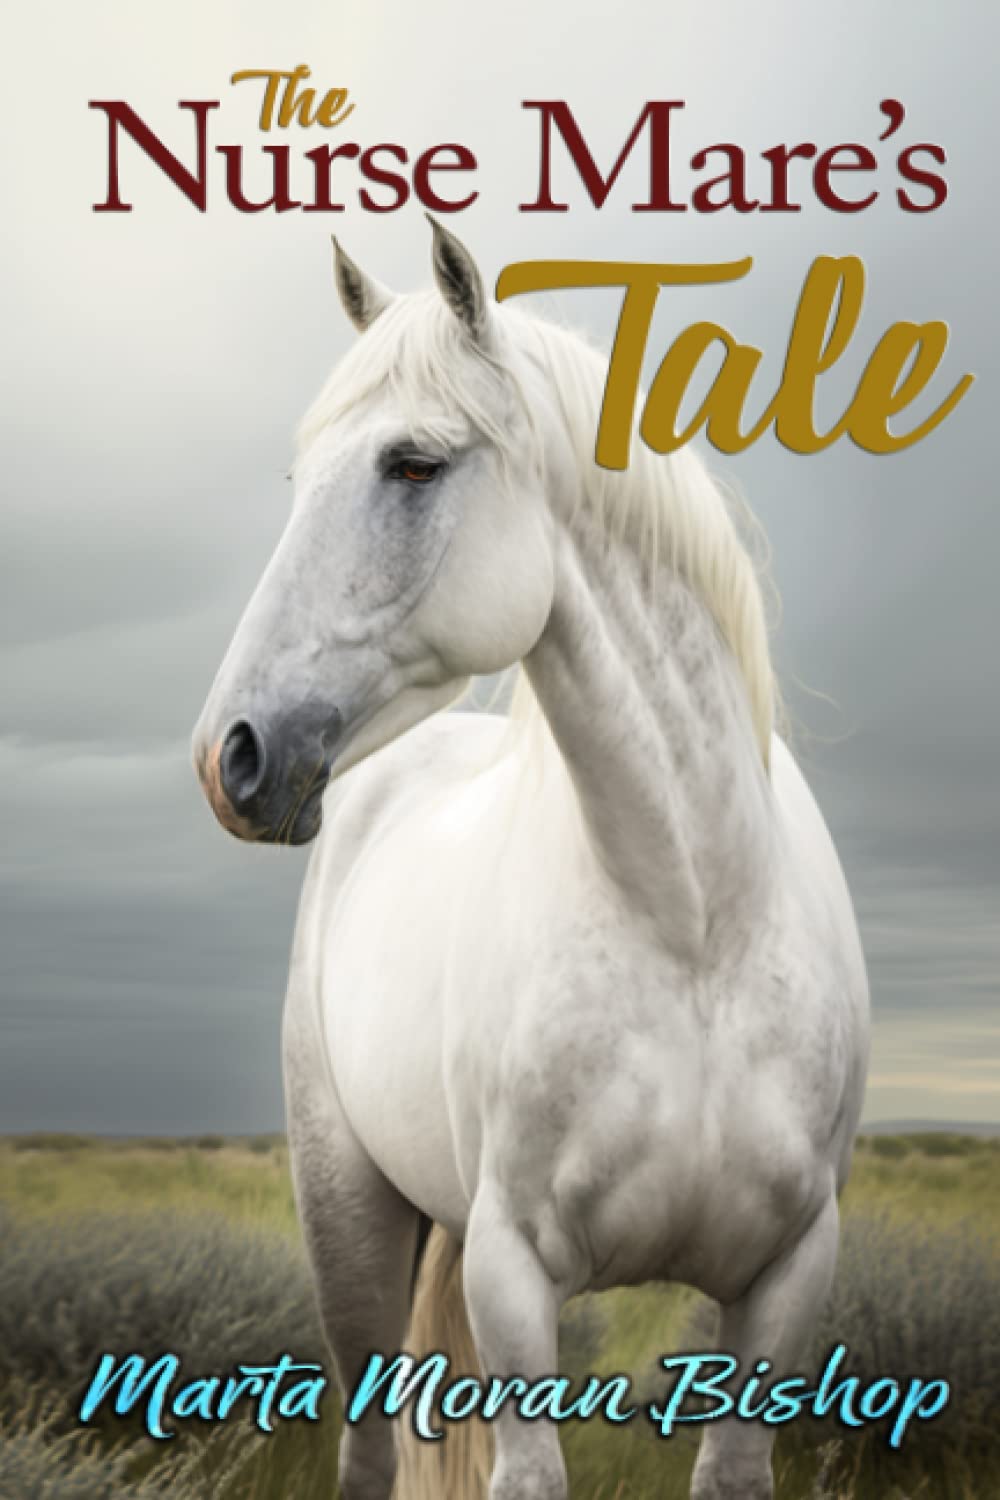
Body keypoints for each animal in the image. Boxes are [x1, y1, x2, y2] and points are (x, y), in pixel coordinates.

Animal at [192, 220, 870, 1500]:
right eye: (302, 481)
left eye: (413, 465)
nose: (230, 756)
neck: (693, 920)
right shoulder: (513, 1278)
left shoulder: (788, 1278)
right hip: (350, 1226)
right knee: (367, 1449)